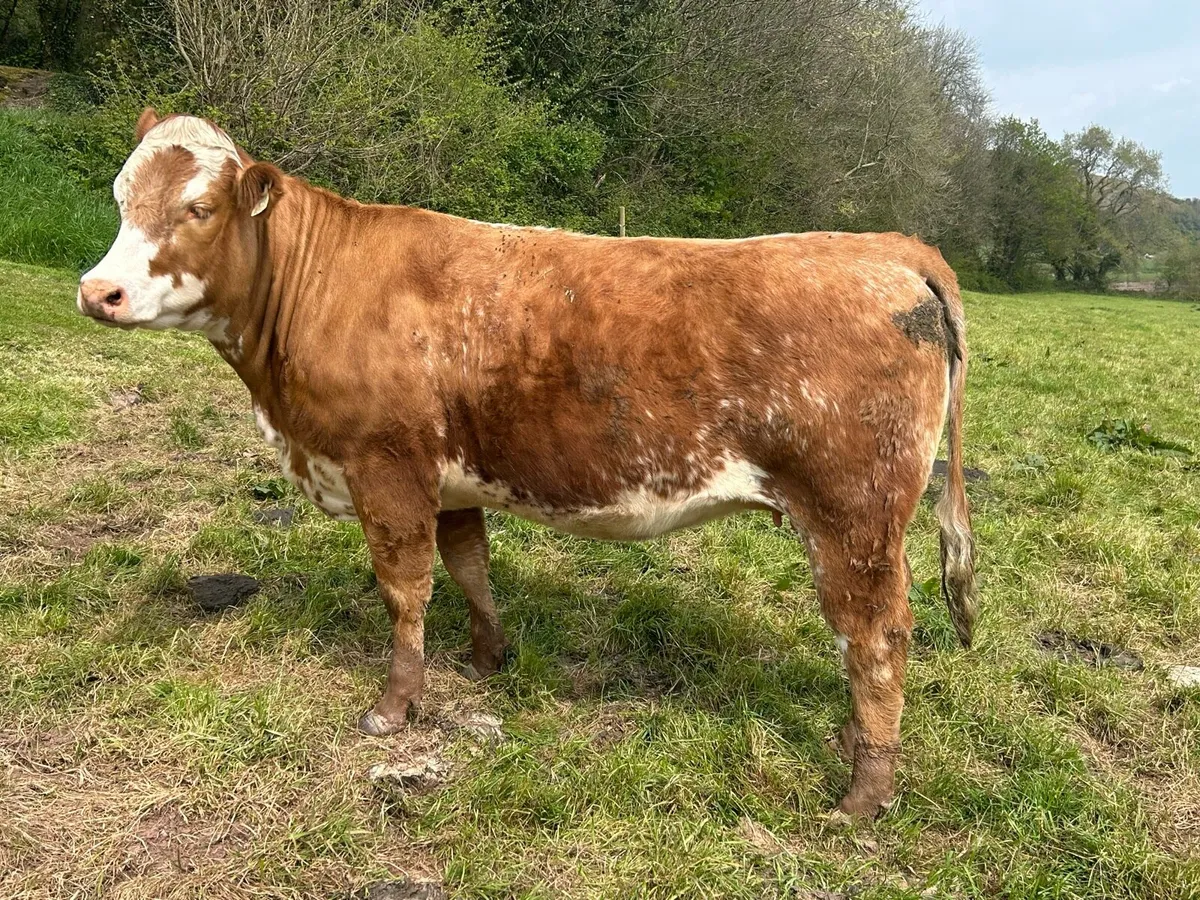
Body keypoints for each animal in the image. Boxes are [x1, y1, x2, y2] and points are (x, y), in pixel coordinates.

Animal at [77, 109, 977, 818]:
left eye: (198, 207)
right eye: (120, 197)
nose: (97, 292)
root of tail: (890, 246)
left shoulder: (385, 466)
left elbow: (405, 590)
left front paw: (395, 708)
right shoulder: (449, 477)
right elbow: (469, 566)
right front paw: (487, 659)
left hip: (853, 515)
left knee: (877, 636)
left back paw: (862, 795)